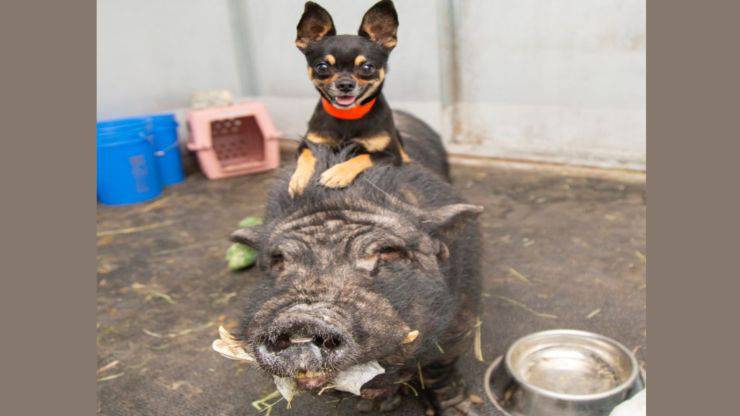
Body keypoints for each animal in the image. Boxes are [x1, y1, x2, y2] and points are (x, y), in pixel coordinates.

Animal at [230, 111, 483, 415]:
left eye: (387, 251)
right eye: (279, 259)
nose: (301, 318)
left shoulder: (462, 317)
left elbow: (440, 367)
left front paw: (463, 410)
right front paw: (377, 405)